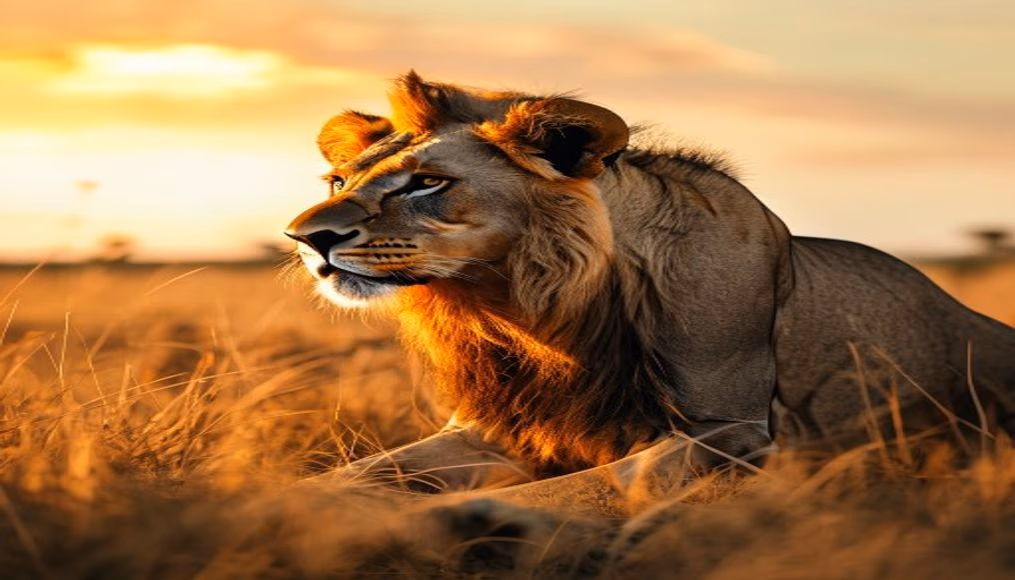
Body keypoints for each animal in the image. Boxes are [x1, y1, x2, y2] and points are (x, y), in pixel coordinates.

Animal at [286, 72, 1015, 515]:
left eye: (427, 183)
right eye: (338, 180)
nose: (303, 237)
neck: (525, 309)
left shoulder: (733, 425)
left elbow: (613, 479)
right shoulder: (497, 430)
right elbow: (353, 475)